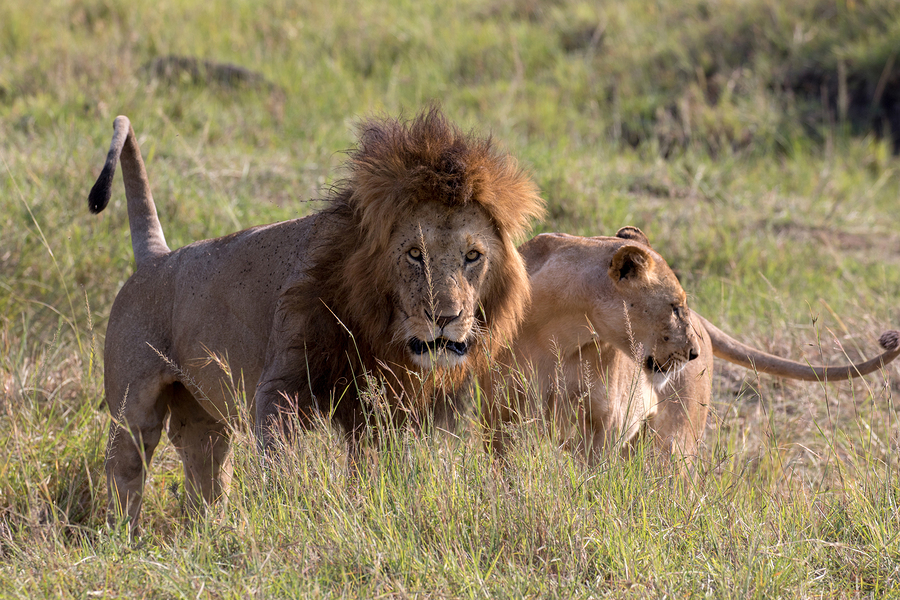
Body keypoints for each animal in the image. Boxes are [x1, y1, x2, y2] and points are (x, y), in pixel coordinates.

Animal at [89, 109, 540, 528]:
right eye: (415, 253)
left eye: (473, 256)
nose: (445, 317)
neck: (382, 329)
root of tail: (157, 258)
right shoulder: (280, 390)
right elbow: (284, 465)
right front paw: (295, 515)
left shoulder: (385, 413)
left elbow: (376, 473)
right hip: (131, 410)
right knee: (125, 471)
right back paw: (125, 539)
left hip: (203, 421)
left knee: (206, 472)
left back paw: (210, 532)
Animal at [486, 227, 900, 466]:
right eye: (674, 306)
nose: (693, 353)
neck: (557, 330)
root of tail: (704, 323)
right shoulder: (499, 413)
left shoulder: (608, 424)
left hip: (675, 441)